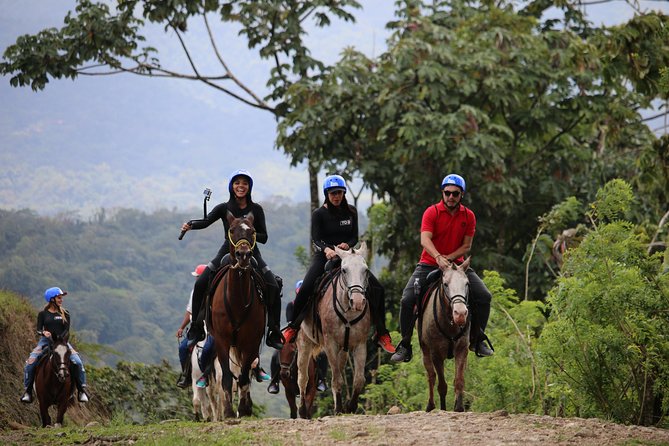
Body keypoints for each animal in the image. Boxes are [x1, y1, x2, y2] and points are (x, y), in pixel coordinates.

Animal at [209, 213, 264, 418]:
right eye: (231, 230)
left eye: (253, 231)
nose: (243, 255)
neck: (237, 301)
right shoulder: (222, 340)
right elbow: (226, 377)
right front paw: (228, 412)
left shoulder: (250, 341)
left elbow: (244, 376)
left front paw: (243, 409)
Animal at [298, 242, 370, 416]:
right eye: (344, 270)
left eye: (365, 270)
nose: (358, 301)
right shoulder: (330, 344)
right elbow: (336, 379)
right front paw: (338, 409)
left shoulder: (360, 344)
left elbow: (359, 379)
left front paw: (350, 407)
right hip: (304, 343)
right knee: (303, 378)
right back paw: (303, 411)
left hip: (343, 351)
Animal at [418, 256, 470, 412]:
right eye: (446, 284)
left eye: (467, 284)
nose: (460, 314)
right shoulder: (436, 353)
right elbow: (441, 385)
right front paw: (443, 408)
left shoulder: (462, 349)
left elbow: (459, 380)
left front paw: (459, 407)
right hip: (425, 349)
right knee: (431, 375)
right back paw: (430, 405)